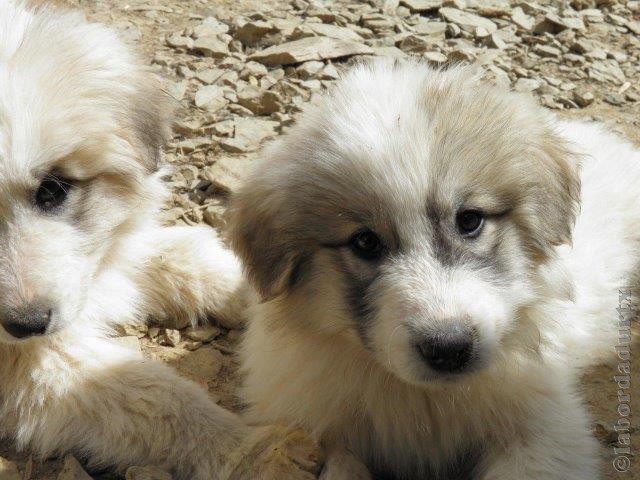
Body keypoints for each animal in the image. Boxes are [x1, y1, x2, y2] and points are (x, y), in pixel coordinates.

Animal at [0, 3, 320, 480]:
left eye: (53, 189)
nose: (26, 324)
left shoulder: (109, 257)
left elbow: (188, 260)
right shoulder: (30, 368)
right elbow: (154, 395)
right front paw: (255, 451)